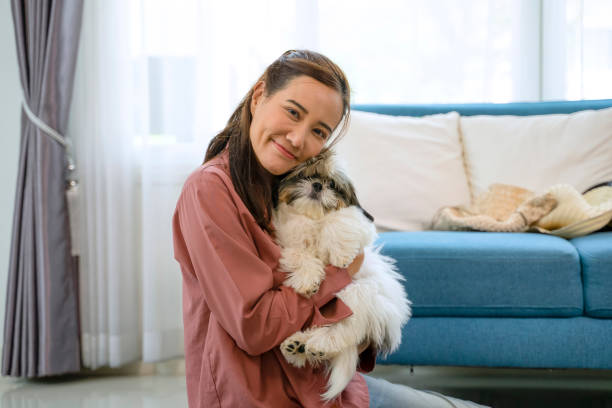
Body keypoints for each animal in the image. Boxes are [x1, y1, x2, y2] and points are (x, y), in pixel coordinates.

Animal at [274, 149, 412, 402]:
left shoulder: (355, 223)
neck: (314, 219)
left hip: (359, 295)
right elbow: (300, 254)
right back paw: (297, 346)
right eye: (305, 176)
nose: (317, 185)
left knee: (342, 332)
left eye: (332, 184)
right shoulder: (290, 240)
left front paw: (340, 255)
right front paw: (308, 280)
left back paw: (314, 344)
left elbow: (339, 220)